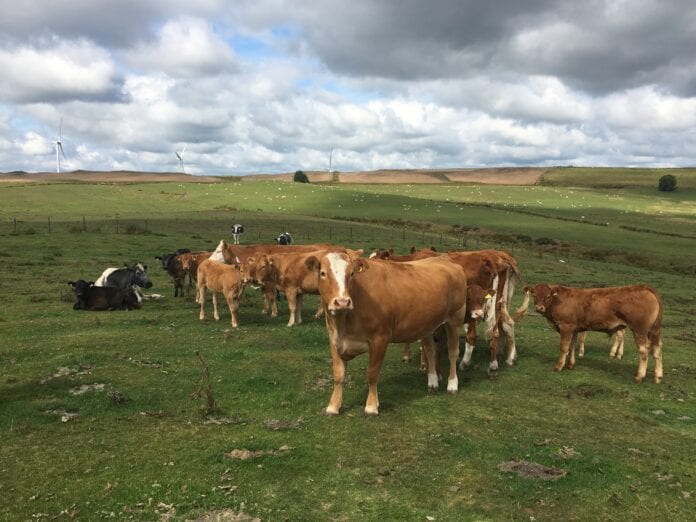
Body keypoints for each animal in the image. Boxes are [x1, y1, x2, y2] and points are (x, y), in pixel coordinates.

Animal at [306, 252, 468, 416]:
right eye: (323, 273)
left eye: (351, 274)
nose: (342, 302)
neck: (343, 323)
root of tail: (448, 261)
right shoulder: (334, 339)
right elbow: (338, 375)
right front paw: (333, 406)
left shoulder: (380, 338)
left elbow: (372, 374)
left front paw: (371, 406)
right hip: (428, 323)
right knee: (430, 351)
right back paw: (432, 382)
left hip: (455, 318)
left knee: (453, 352)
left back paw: (452, 384)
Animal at [522, 284, 663, 383]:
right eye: (534, 295)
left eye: (548, 296)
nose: (539, 308)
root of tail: (645, 287)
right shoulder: (574, 328)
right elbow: (572, 346)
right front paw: (570, 365)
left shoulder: (566, 327)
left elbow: (564, 348)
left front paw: (559, 366)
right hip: (654, 331)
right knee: (657, 350)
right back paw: (658, 377)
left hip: (640, 330)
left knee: (644, 351)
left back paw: (639, 377)